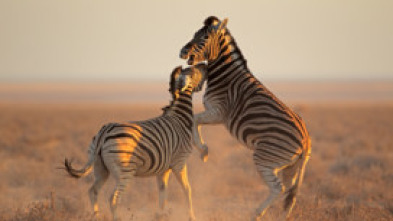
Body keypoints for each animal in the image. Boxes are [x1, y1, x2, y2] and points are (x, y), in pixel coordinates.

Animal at [62, 63, 207, 220]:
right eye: (195, 72)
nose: (204, 65)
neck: (180, 118)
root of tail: (104, 132)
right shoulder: (180, 162)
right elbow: (187, 189)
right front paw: (191, 216)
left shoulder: (163, 169)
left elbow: (163, 193)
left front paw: (161, 215)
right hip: (124, 171)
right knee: (113, 198)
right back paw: (116, 218)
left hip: (100, 168)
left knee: (93, 191)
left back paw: (96, 216)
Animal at [178, 16, 310, 220]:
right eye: (195, 34)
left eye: (205, 37)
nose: (183, 51)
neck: (225, 75)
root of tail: (306, 140)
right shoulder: (216, 113)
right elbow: (196, 120)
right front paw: (203, 150)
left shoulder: (219, 112)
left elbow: (195, 119)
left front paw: (203, 150)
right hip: (291, 167)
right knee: (290, 194)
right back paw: (281, 217)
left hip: (265, 158)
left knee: (277, 188)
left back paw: (256, 213)